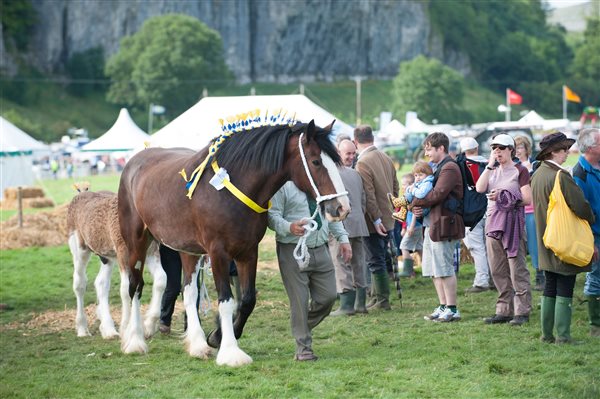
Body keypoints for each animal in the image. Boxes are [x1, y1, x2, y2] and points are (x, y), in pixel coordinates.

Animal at [117, 120, 350, 368]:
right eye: (316, 161)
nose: (342, 208)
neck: (231, 189)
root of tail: (135, 161)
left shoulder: (248, 252)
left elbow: (247, 300)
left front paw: (216, 337)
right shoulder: (218, 253)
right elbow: (227, 301)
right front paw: (230, 351)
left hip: (187, 249)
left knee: (189, 293)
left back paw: (197, 345)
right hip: (137, 243)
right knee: (135, 286)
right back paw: (135, 341)